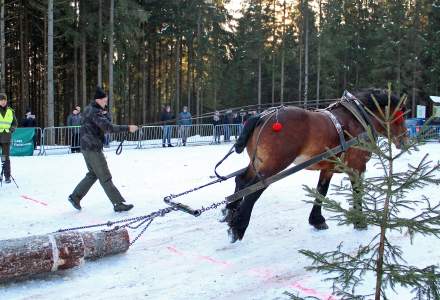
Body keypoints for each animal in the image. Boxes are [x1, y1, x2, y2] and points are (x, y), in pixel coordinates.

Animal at [222, 88, 408, 243]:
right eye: (400, 116)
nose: (405, 141)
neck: (358, 119)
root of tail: (261, 116)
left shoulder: (328, 167)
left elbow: (321, 191)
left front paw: (317, 220)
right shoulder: (357, 166)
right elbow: (357, 192)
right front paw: (359, 222)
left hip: (258, 161)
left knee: (241, 181)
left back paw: (230, 212)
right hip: (275, 164)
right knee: (254, 189)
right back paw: (238, 227)